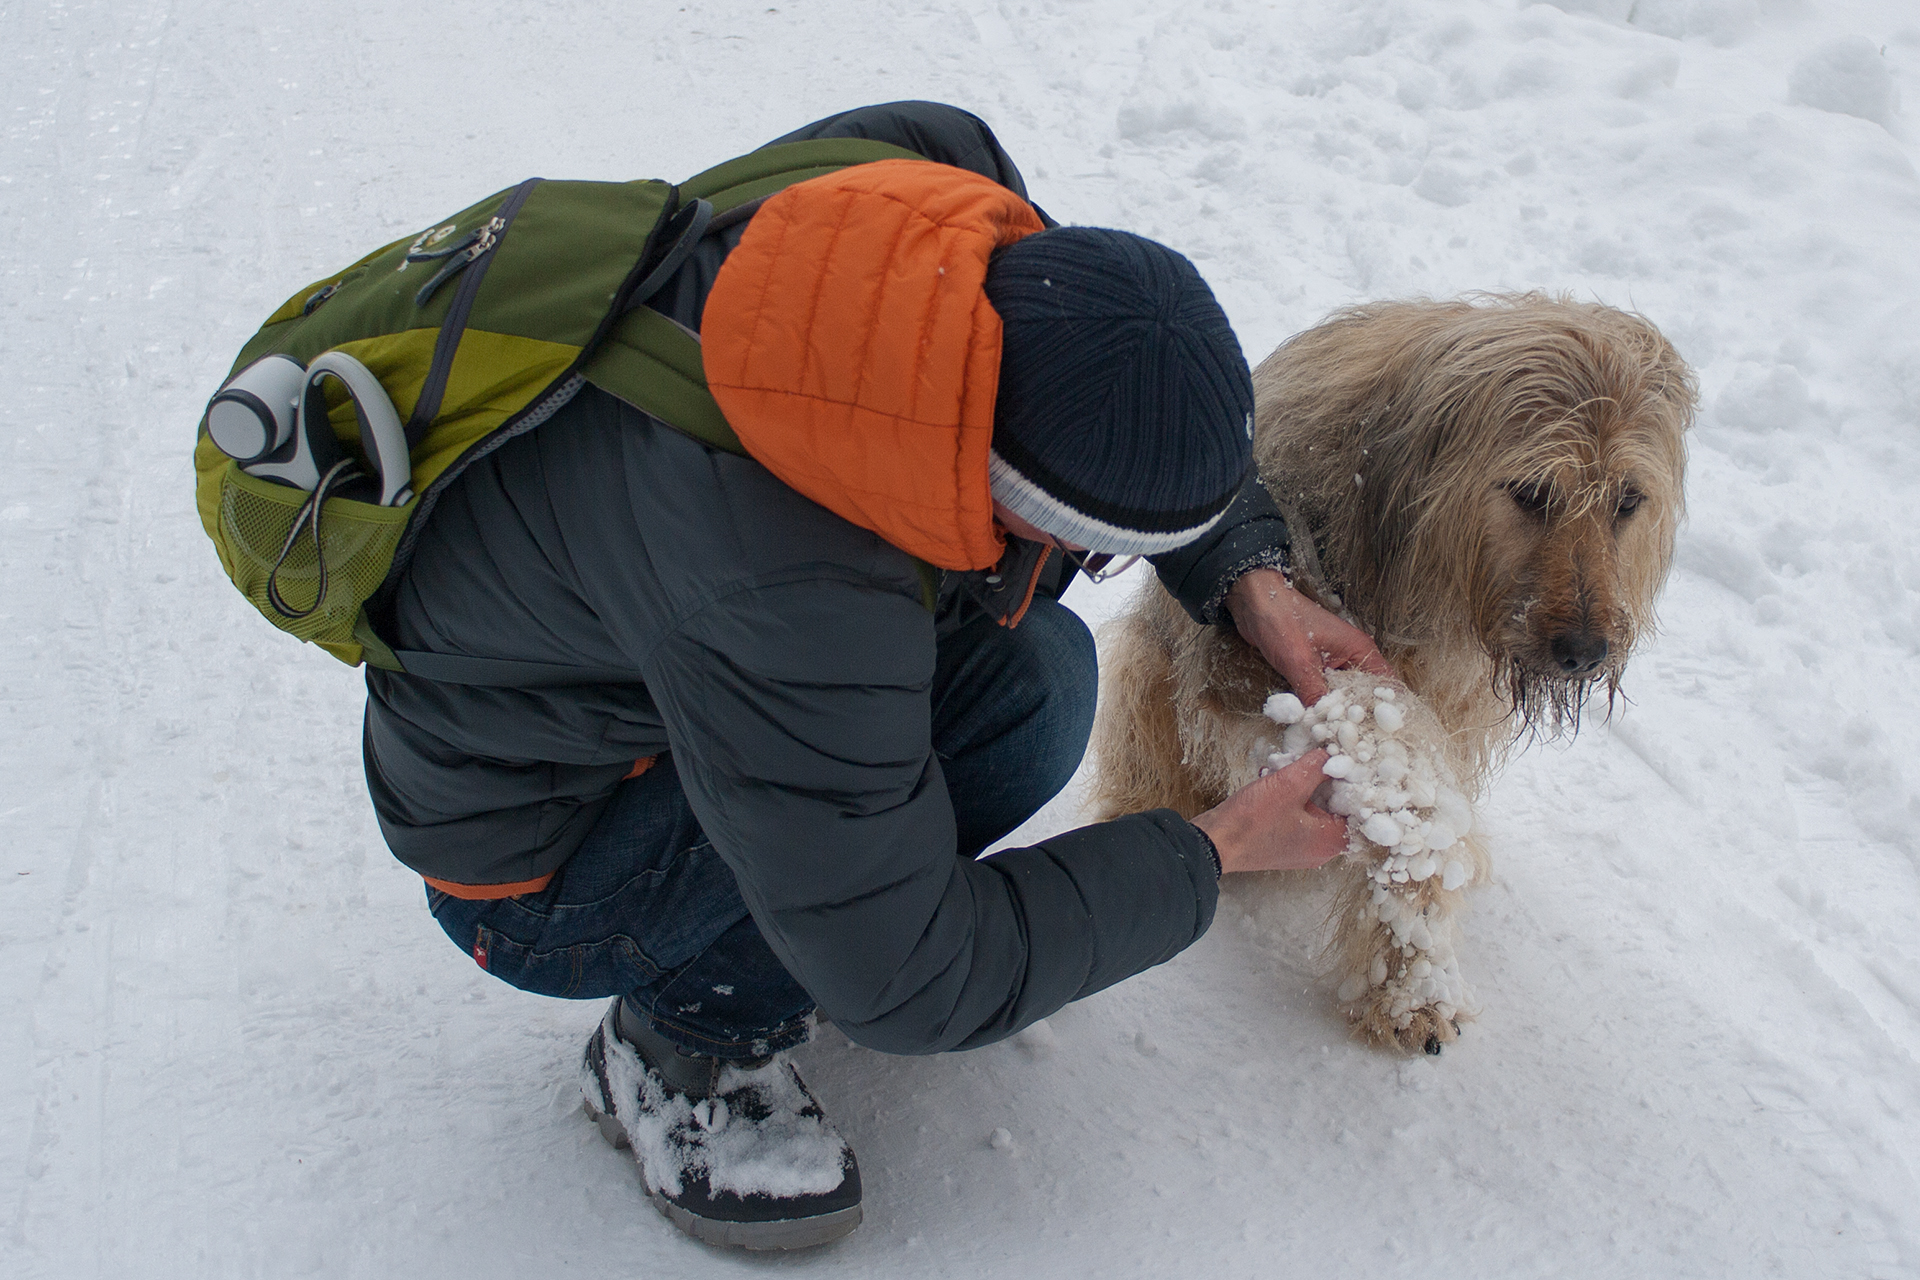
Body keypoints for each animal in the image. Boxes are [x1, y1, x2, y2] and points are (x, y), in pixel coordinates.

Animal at [1098, 295, 1697, 1059]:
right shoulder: (1260, 640)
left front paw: (1411, 972)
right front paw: (1411, 972)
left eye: (1627, 501)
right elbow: (1393, 756)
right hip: (1147, 676)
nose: (1586, 652)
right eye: (1531, 492)